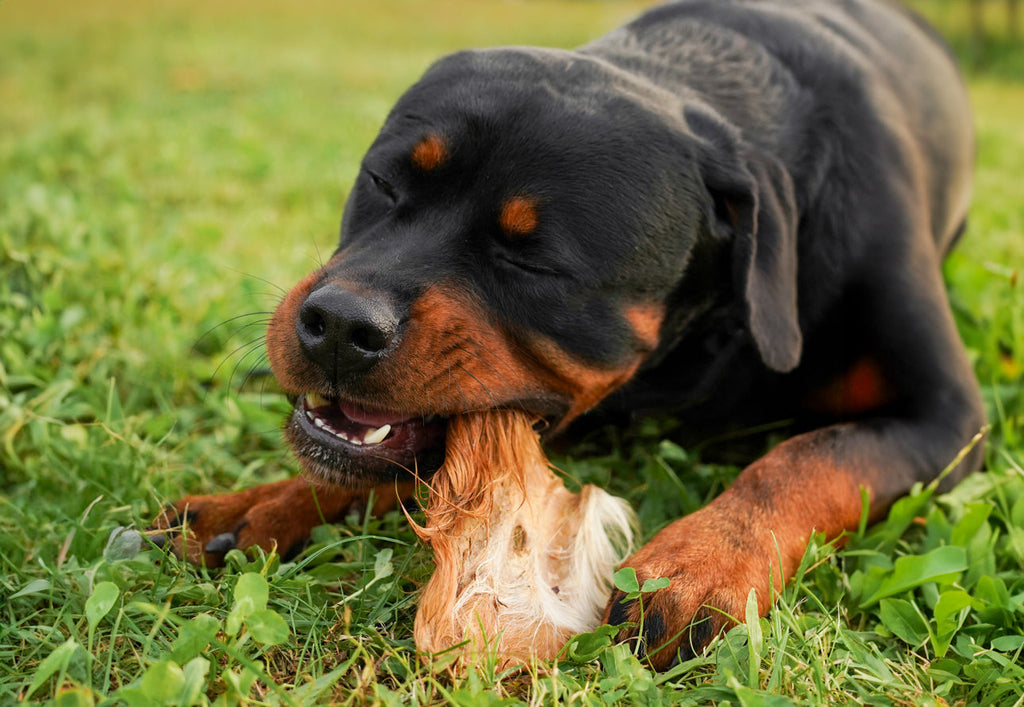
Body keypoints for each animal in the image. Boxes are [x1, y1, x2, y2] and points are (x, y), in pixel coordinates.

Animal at [151, 0, 983, 668]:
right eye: (383, 182)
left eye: (534, 260)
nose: (338, 325)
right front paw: (264, 500)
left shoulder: (948, 419)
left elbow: (805, 459)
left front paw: (700, 562)